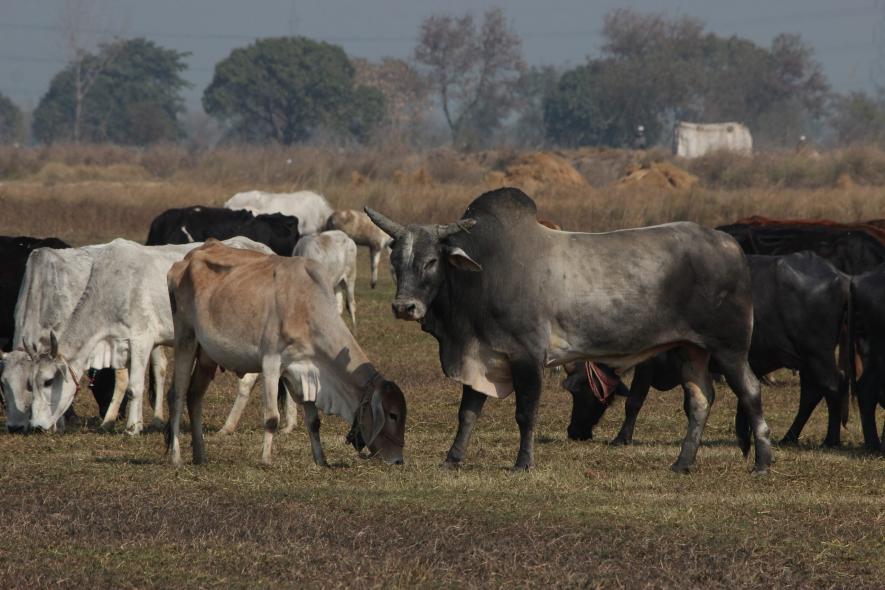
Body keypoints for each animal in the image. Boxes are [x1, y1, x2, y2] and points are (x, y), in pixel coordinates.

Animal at [28, 236, 272, 434]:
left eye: (48, 381)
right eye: (31, 384)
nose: (36, 426)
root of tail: (264, 250)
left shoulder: (141, 340)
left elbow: (135, 386)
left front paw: (133, 427)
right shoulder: (120, 344)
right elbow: (122, 383)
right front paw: (109, 422)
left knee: (247, 382)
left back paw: (227, 427)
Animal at [164, 240, 406, 468]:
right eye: (392, 414)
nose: (398, 460)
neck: (306, 305)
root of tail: (186, 259)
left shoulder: (307, 373)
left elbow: (313, 422)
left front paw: (321, 459)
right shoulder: (271, 362)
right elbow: (272, 417)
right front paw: (266, 459)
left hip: (206, 356)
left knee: (194, 396)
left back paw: (200, 456)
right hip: (185, 338)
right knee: (177, 395)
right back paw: (176, 457)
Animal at [364, 190, 768, 476]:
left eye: (432, 261)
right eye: (395, 260)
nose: (404, 307)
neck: (482, 274)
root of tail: (729, 244)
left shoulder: (527, 357)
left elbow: (526, 413)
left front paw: (523, 463)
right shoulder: (482, 356)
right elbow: (468, 413)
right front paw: (452, 459)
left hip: (730, 349)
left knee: (749, 391)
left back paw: (763, 461)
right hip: (691, 349)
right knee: (700, 400)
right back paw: (682, 463)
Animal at [564, 253, 852, 448]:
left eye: (578, 390)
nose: (574, 432)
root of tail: (840, 277)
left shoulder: (648, 363)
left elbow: (634, 401)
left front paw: (621, 438)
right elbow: (690, 401)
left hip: (818, 354)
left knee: (833, 386)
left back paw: (830, 440)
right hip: (805, 360)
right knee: (811, 394)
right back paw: (790, 437)